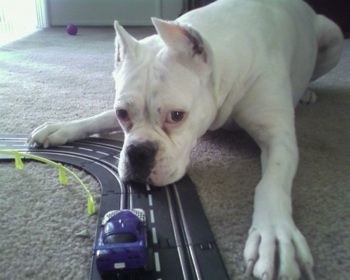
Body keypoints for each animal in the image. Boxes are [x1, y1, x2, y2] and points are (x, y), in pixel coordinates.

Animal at [28, 0, 344, 278]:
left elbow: (271, 183)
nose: (138, 153)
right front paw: (62, 128)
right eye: (122, 114)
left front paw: (275, 235)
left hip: (334, 36)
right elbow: (99, 117)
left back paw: (305, 93)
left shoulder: (278, 136)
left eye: (177, 116)